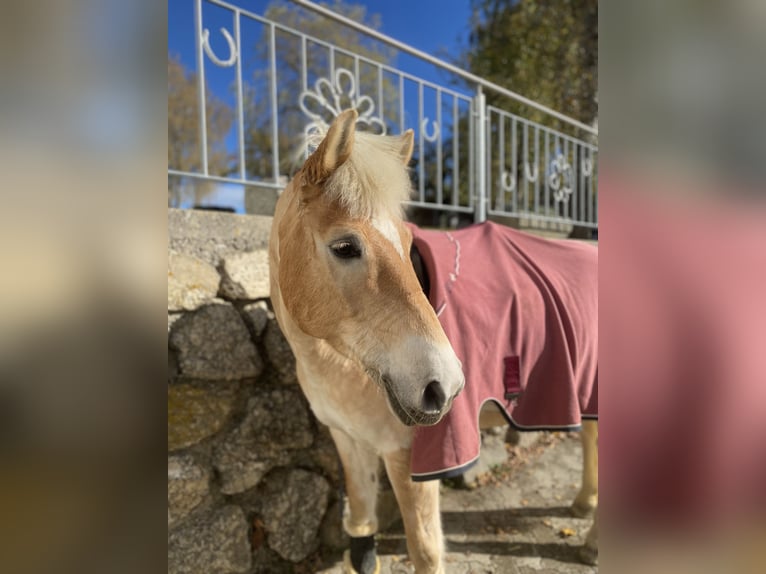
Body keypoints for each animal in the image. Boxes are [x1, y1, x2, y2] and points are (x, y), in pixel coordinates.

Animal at [270, 110, 600, 572]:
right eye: (345, 246)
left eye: (409, 243)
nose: (445, 386)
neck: (342, 367)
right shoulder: (348, 440)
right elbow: (361, 529)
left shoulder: (409, 456)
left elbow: (425, 550)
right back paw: (584, 505)